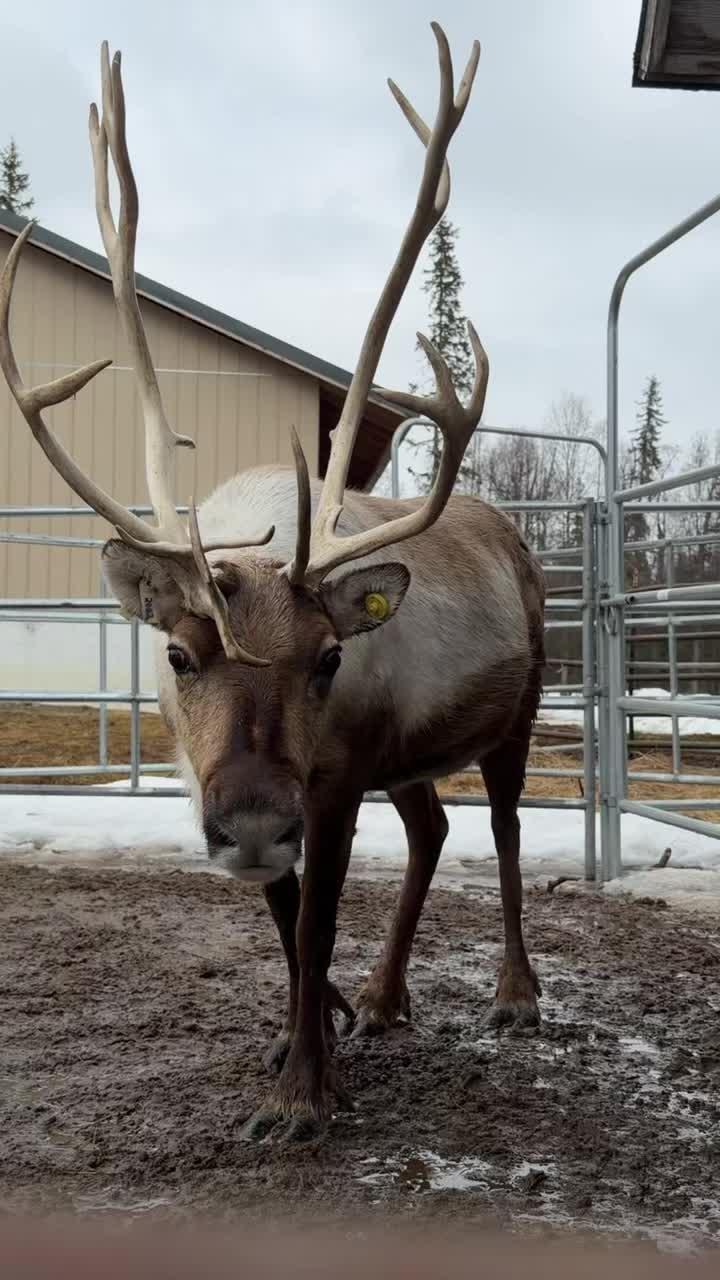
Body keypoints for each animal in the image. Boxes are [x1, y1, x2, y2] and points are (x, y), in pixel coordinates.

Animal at [0, 27, 545, 1141]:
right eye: (176, 652)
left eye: (330, 656)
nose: (252, 822)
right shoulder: (228, 777)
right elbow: (285, 919)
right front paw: (316, 1027)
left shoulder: (332, 780)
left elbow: (320, 913)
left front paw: (300, 1092)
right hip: (411, 758)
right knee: (434, 829)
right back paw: (382, 997)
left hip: (524, 703)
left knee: (506, 829)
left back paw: (515, 992)